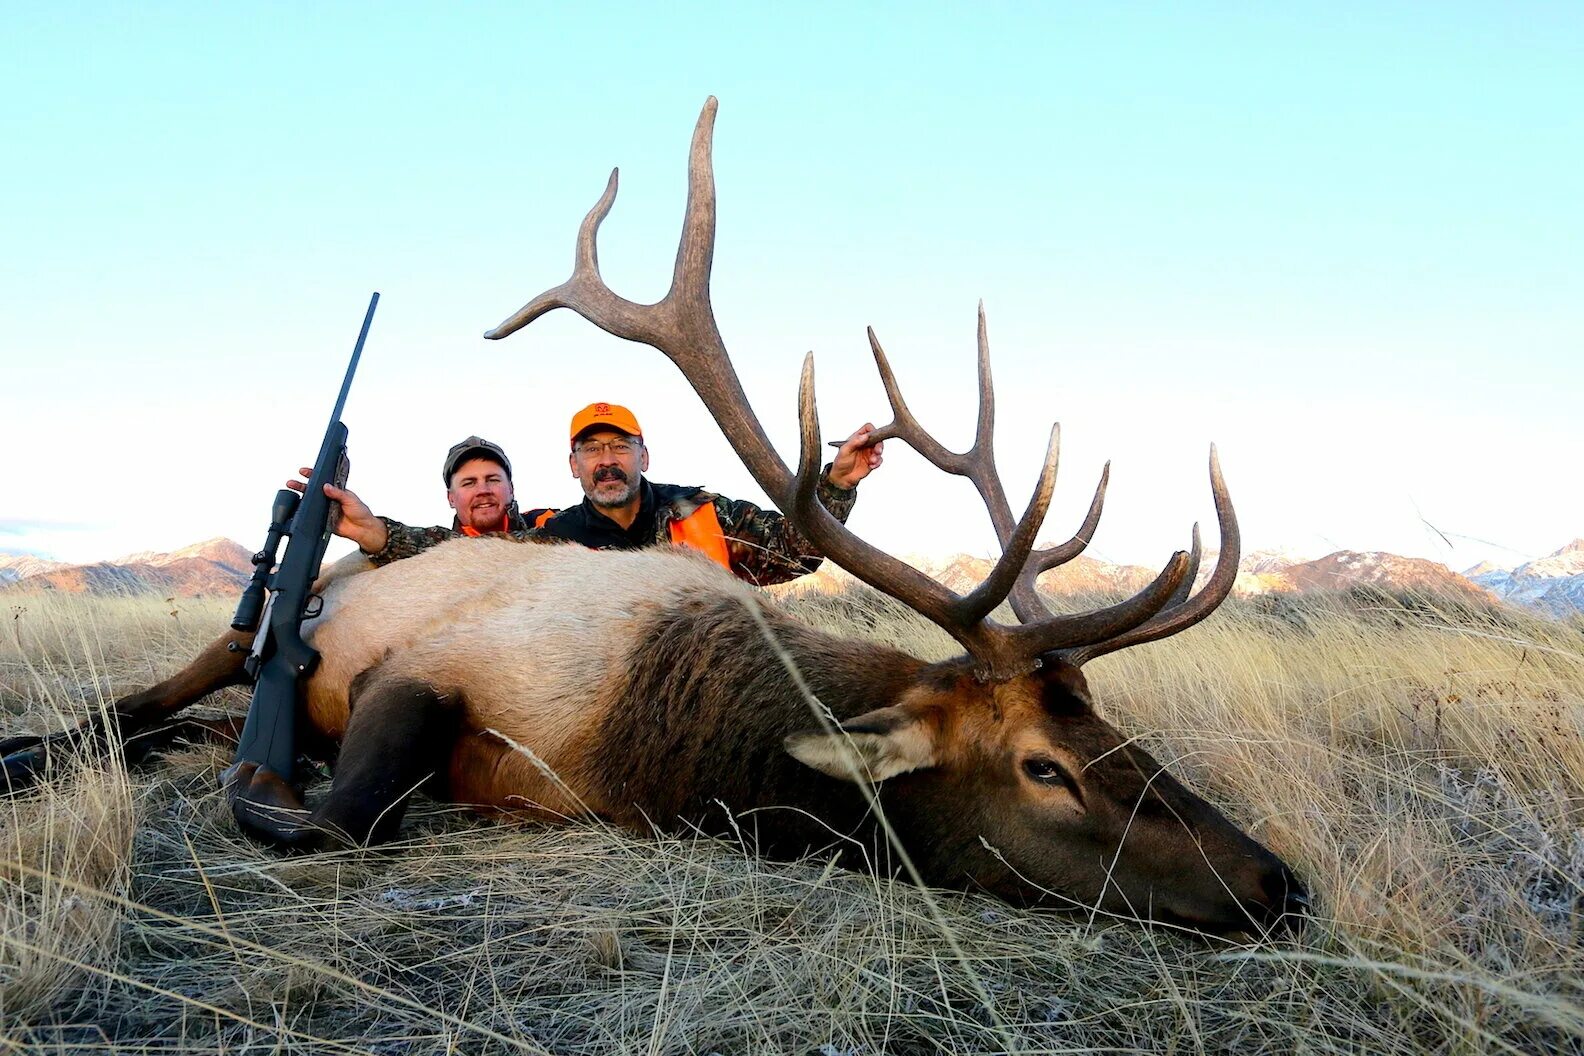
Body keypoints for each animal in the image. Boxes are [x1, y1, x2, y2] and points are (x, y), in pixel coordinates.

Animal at [1, 98, 1307, 935]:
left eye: (1121, 736)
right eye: (1047, 768)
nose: (1279, 885)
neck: (667, 732)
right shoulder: (423, 671)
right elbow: (332, 822)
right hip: (263, 627)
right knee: (137, 706)